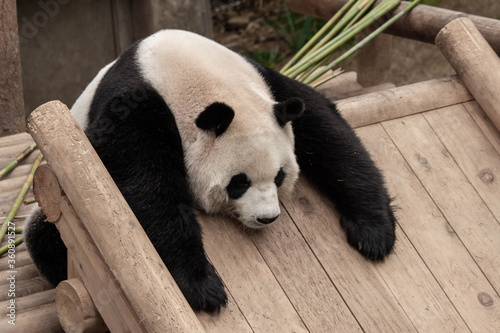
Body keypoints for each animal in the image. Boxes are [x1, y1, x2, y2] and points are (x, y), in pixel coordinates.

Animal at [25, 28, 396, 312]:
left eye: (279, 176)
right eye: (239, 183)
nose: (267, 218)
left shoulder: (269, 85)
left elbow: (330, 133)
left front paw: (374, 232)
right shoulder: (136, 108)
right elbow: (142, 189)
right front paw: (203, 287)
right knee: (46, 236)